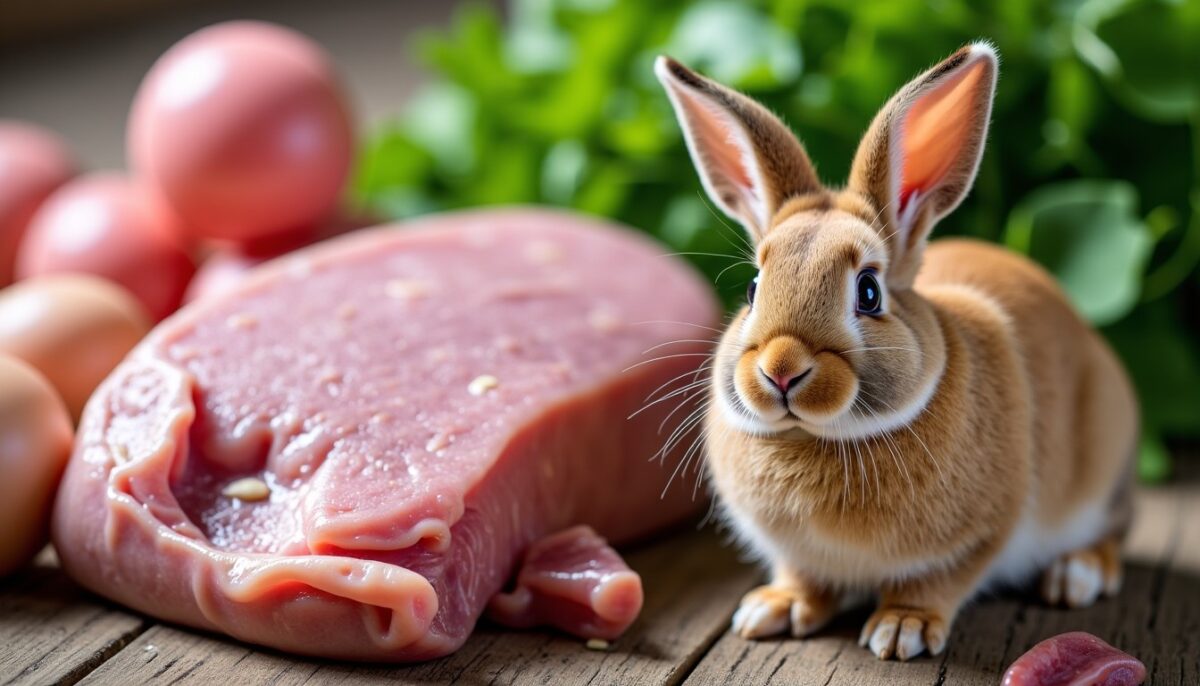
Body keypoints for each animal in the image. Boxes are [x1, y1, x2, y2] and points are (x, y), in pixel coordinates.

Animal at [655, 43, 1138, 661]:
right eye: (752, 289)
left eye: (868, 291)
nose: (781, 369)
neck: (818, 439)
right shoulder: (795, 554)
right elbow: (802, 576)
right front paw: (773, 609)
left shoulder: (976, 538)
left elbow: (936, 581)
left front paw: (901, 629)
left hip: (1105, 463)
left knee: (1113, 532)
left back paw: (1076, 574)